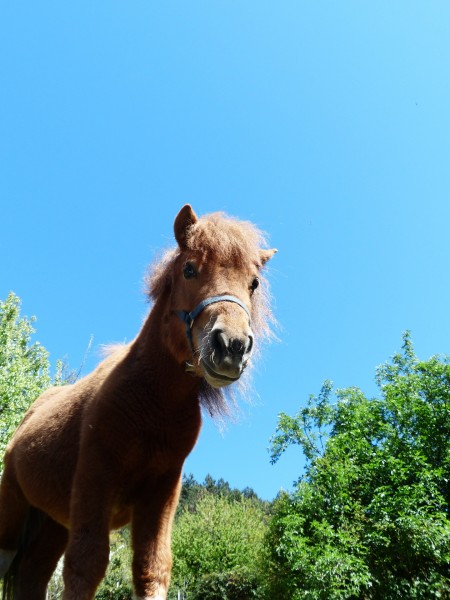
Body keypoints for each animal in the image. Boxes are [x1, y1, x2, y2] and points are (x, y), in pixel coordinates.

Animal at [0, 206, 276, 600]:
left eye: (253, 284)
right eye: (189, 269)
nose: (232, 346)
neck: (153, 403)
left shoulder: (161, 492)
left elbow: (152, 569)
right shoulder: (95, 476)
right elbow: (86, 565)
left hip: (54, 522)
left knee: (33, 576)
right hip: (14, 505)